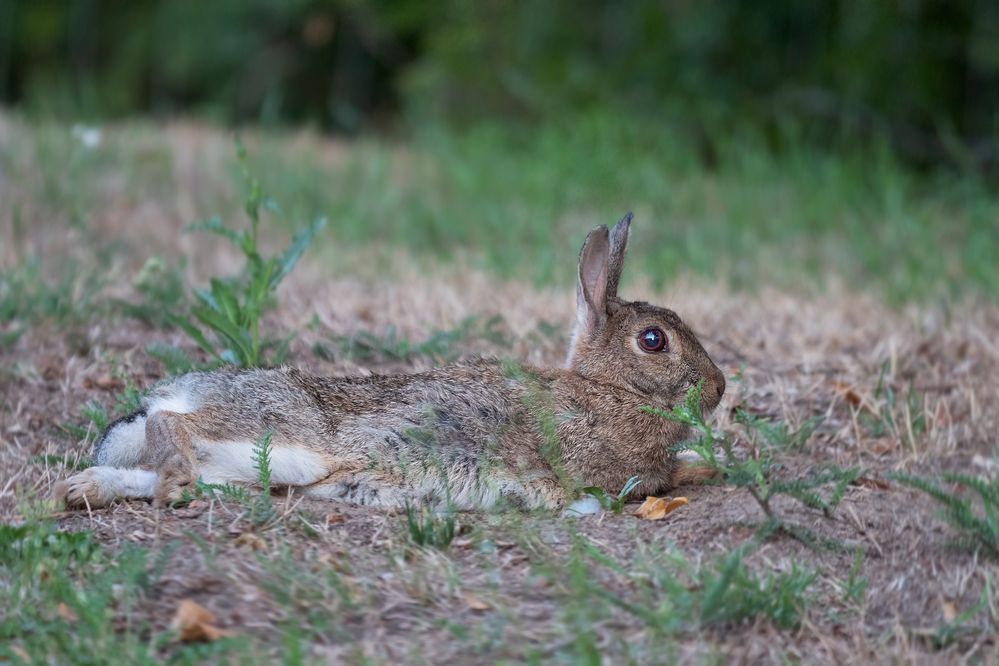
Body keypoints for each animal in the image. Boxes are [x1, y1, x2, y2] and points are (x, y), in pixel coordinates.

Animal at [52, 213, 728, 508]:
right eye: (653, 341)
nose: (719, 388)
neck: (608, 389)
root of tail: (177, 391)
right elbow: (666, 476)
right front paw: (703, 467)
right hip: (278, 432)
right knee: (176, 427)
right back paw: (158, 473)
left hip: (260, 467)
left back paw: (87, 489)